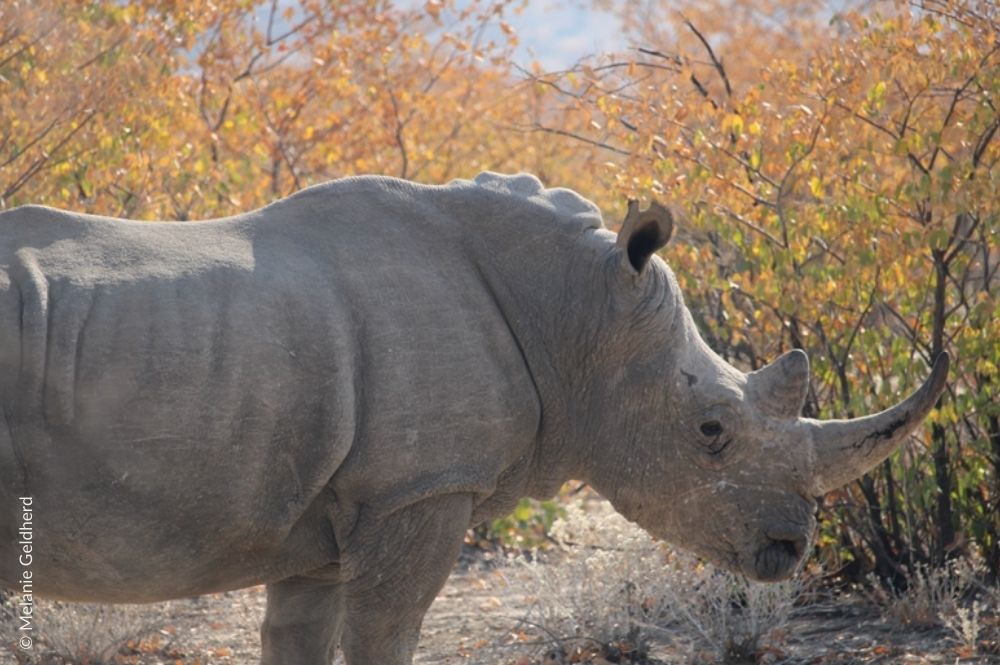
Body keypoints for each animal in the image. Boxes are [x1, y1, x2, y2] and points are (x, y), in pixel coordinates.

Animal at [0, 174, 948, 660]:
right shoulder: (419, 486)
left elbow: (298, 634)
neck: (576, 311)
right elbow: (386, 631)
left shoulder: (319, 508)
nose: (791, 549)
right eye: (712, 431)